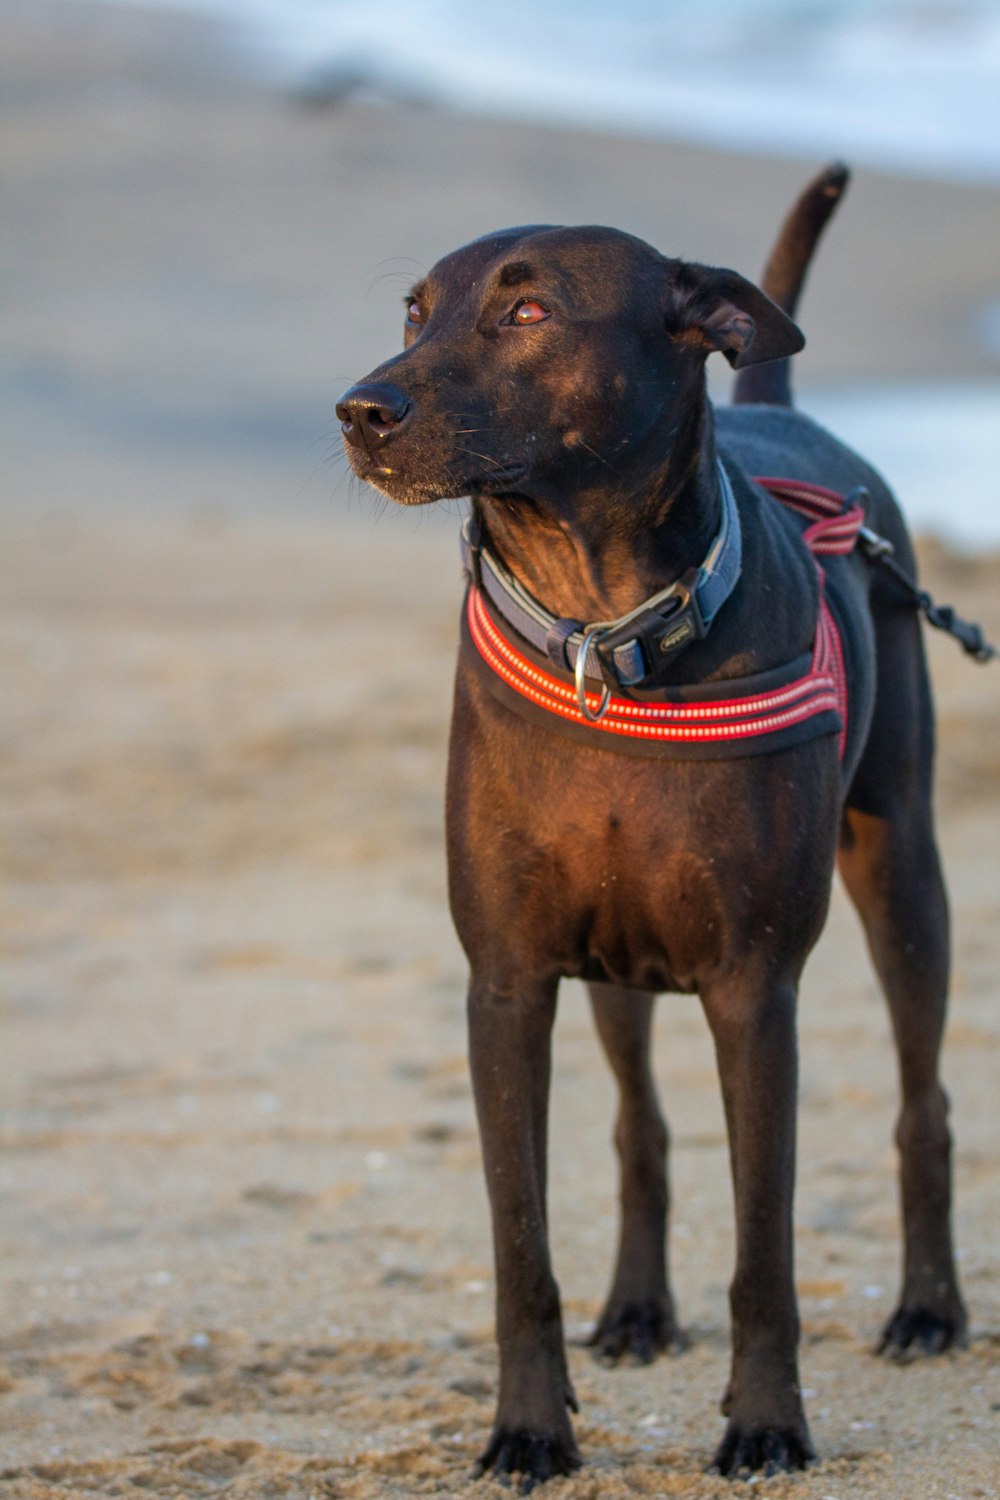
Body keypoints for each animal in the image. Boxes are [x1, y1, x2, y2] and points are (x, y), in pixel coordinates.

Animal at [338, 170, 971, 1482]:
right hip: (616, 969)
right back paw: (636, 1310)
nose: (360, 410)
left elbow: (764, 1252)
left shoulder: (752, 990)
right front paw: (529, 1431)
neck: (601, 631)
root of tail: (785, 413)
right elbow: (521, 1242)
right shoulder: (508, 981)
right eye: (416, 310)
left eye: (527, 312)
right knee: (639, 1127)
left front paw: (767, 1423)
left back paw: (928, 1310)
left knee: (922, 1102)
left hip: (902, 868)